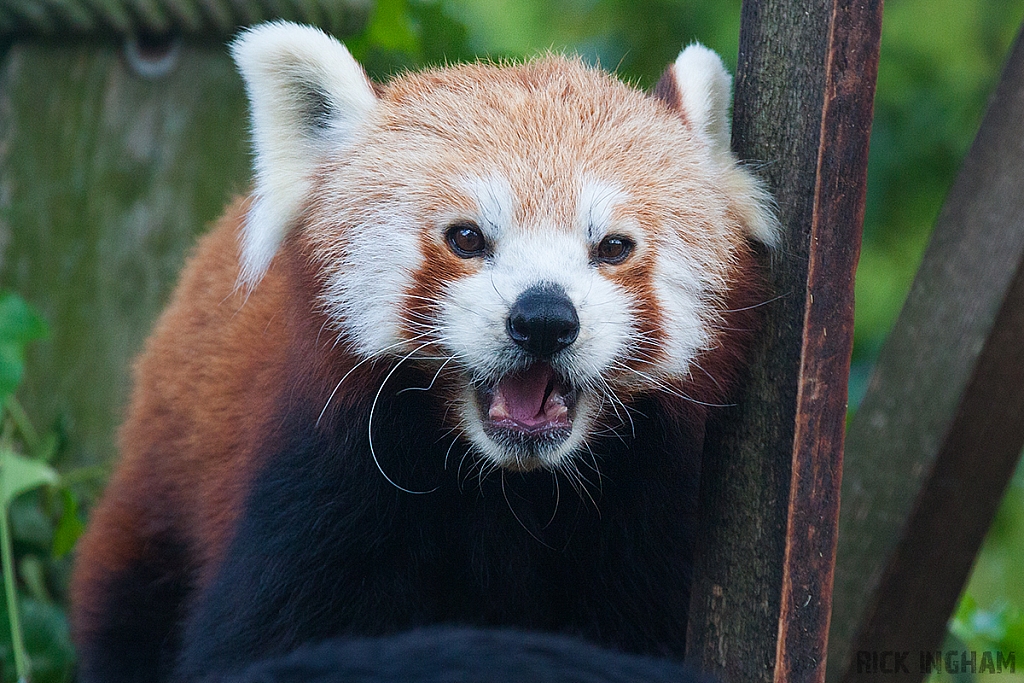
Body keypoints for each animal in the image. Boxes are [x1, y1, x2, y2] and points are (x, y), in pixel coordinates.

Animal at [70, 21, 774, 683]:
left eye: (613, 247)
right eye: (466, 238)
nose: (545, 319)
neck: (510, 493)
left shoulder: (652, 517)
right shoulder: (316, 491)